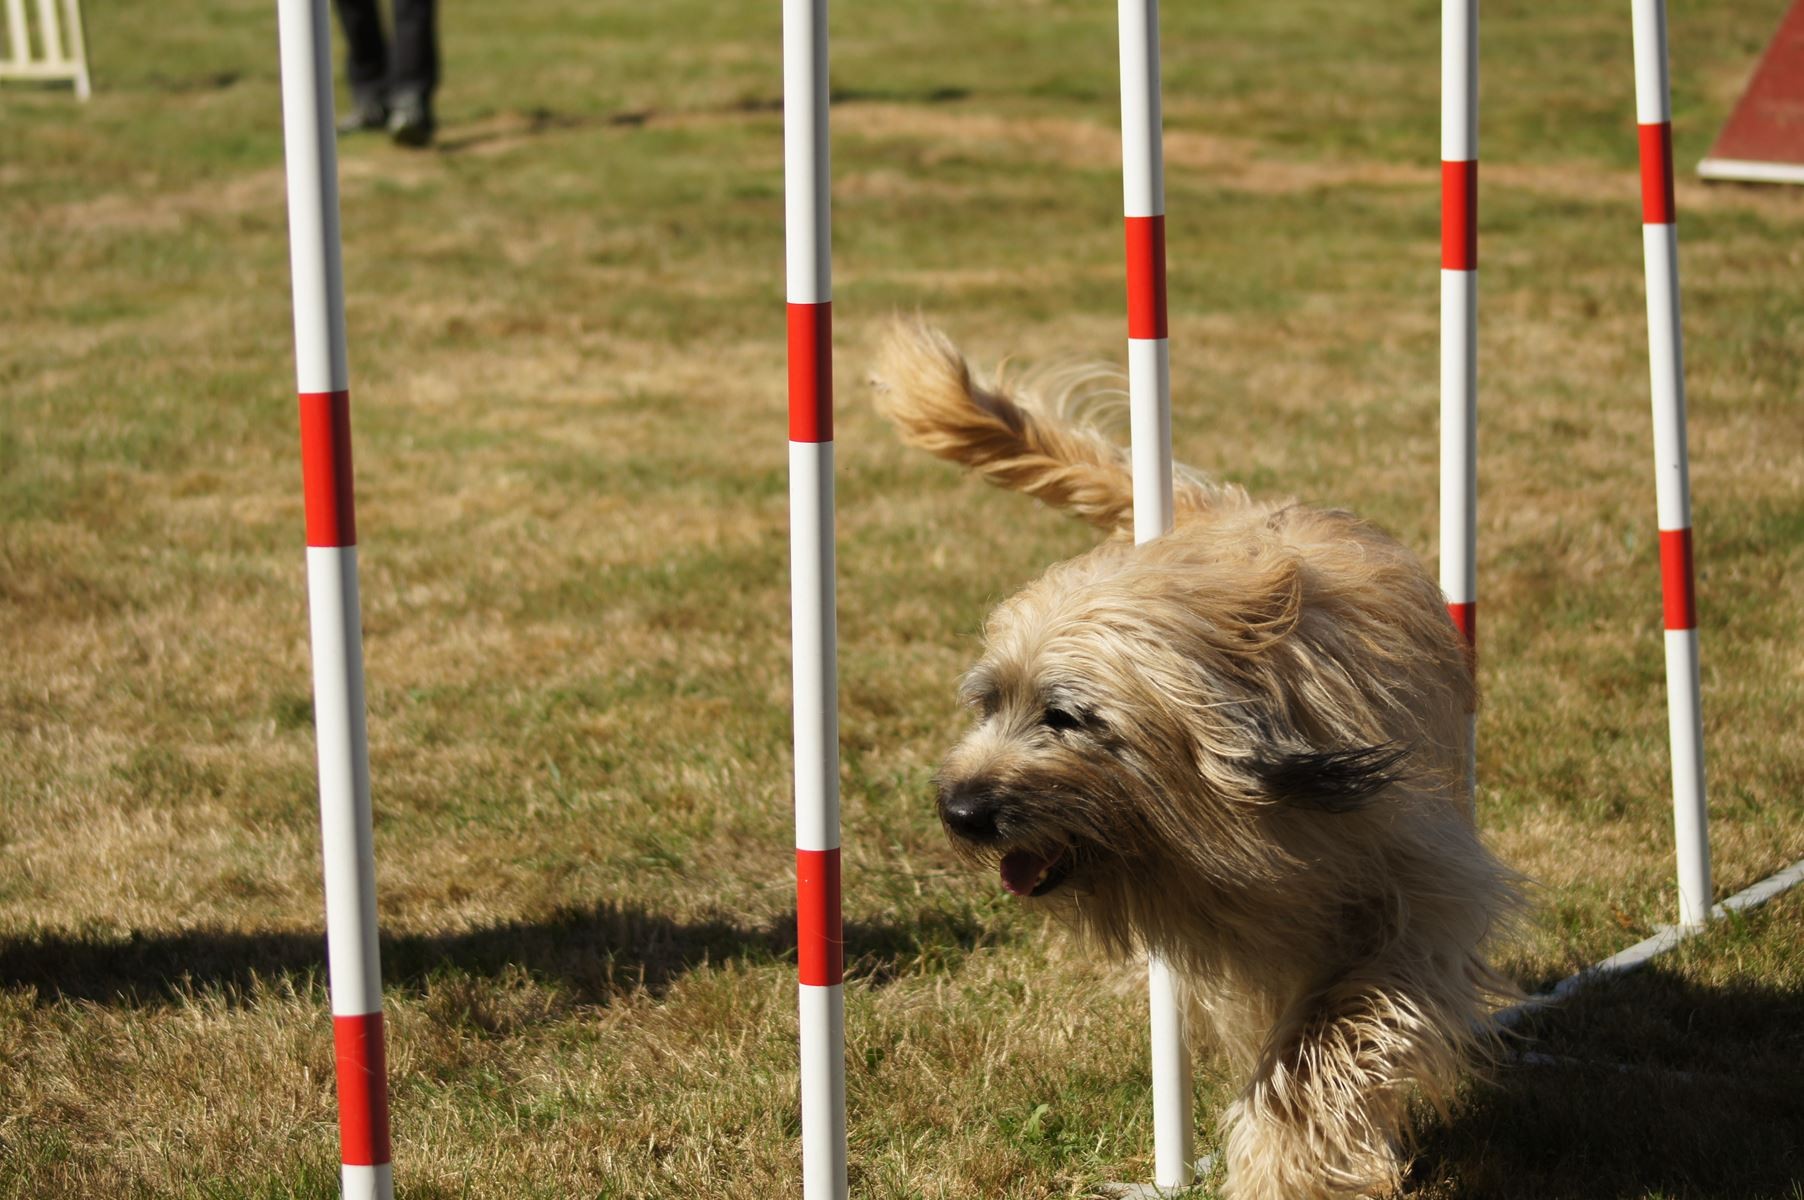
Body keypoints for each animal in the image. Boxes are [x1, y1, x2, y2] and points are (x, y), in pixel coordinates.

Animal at [873, 323, 1522, 1198]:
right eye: (988, 704)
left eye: (1065, 717)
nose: (962, 812)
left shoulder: (1417, 893)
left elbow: (1333, 1030)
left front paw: (1285, 1158)